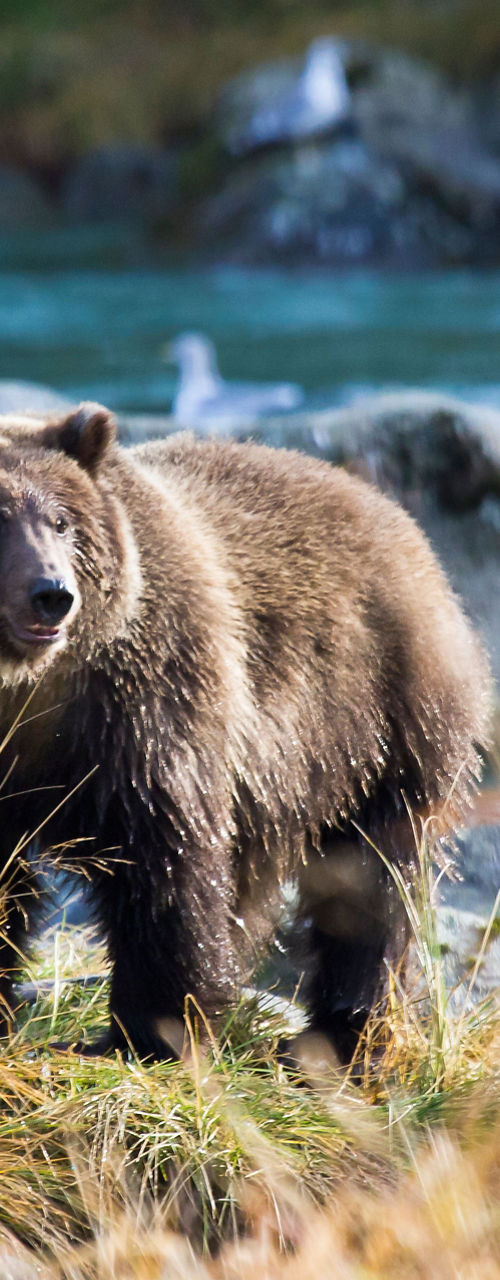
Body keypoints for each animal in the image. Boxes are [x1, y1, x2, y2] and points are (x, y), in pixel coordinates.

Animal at [0, 402, 491, 1062]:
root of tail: (393, 515)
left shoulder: (140, 708)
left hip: (380, 718)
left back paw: (344, 1028)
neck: (26, 690)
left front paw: (148, 1032)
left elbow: (165, 864)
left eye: (61, 520)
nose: (51, 594)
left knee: (373, 882)